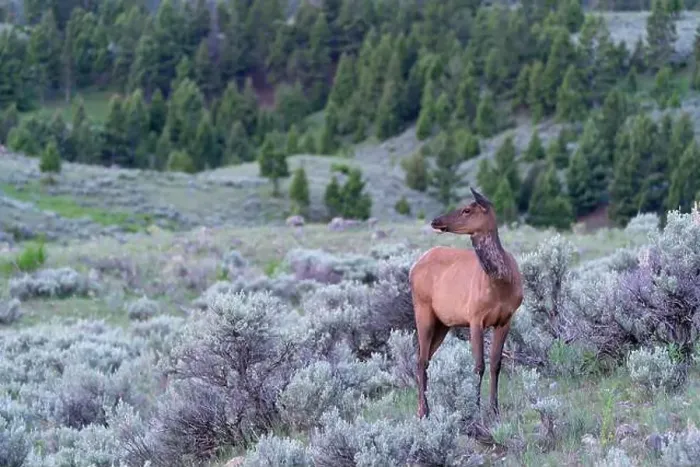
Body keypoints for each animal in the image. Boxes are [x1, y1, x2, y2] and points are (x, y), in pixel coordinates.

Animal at [409, 187, 523, 419]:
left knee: (425, 358)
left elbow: (496, 364)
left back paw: (421, 408)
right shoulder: (475, 317)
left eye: (467, 210)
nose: (435, 220)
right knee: (421, 359)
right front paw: (476, 408)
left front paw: (494, 409)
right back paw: (424, 411)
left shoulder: (506, 319)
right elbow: (478, 365)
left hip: (443, 323)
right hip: (422, 309)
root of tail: (413, 268)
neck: (501, 284)